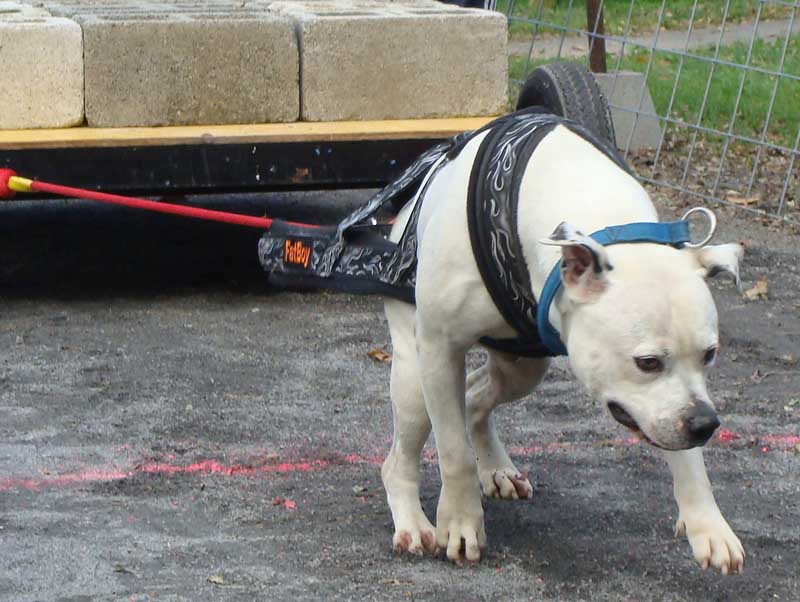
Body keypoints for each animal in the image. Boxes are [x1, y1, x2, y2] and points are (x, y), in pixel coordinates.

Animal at [382, 117, 744, 572]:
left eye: (709, 355)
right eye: (646, 362)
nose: (705, 425)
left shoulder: (672, 410)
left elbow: (686, 452)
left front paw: (707, 524)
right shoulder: (439, 349)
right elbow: (453, 453)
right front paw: (461, 522)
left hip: (522, 366)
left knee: (475, 396)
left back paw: (495, 468)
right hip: (415, 375)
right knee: (401, 455)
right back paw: (412, 521)